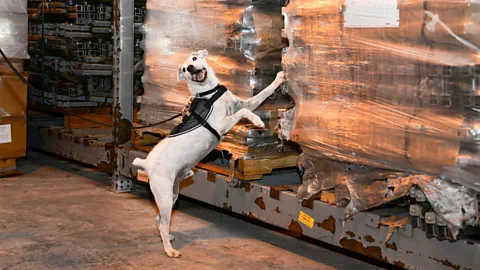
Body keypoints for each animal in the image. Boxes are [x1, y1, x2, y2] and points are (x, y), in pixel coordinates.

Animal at [131, 49, 284, 258]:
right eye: (184, 69)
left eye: (194, 59)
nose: (190, 68)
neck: (208, 92)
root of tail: (147, 163)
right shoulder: (222, 124)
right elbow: (244, 112)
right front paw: (258, 122)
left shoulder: (242, 103)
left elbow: (262, 94)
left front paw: (279, 78)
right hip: (164, 195)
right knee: (162, 222)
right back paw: (169, 250)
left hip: (172, 194)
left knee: (160, 220)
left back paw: (168, 237)